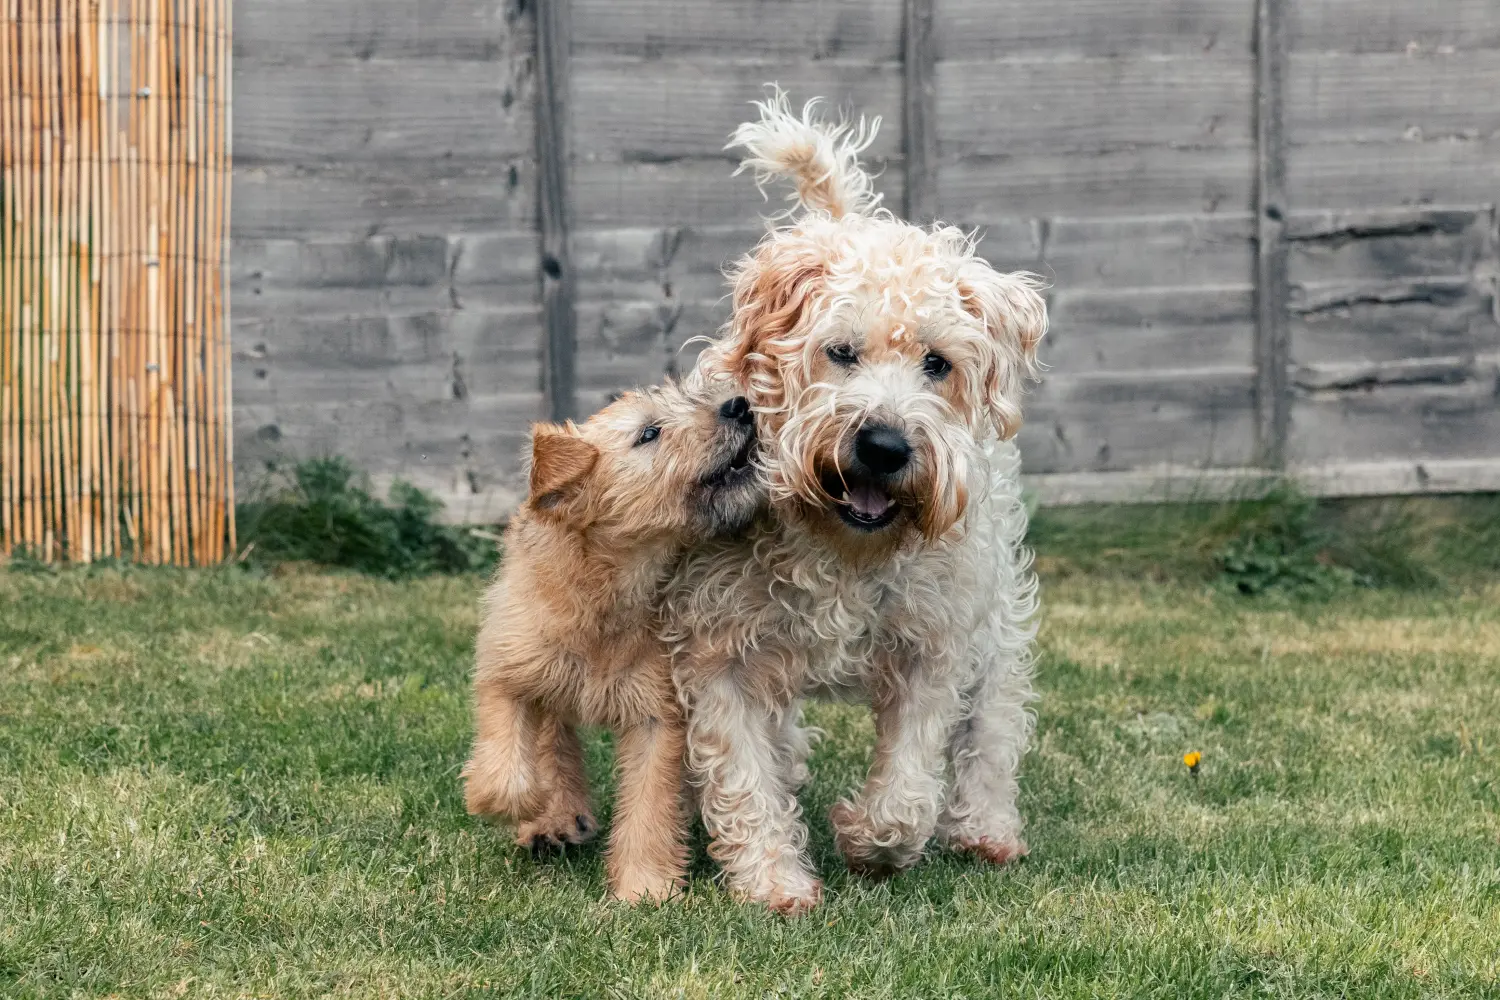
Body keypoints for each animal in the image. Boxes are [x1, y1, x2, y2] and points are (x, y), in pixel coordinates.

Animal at [459, 379, 762, 905]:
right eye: (649, 433)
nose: (740, 406)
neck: (607, 594)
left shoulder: (658, 717)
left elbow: (649, 806)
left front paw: (645, 887)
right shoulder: (507, 671)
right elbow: (505, 771)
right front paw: (529, 806)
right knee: (552, 741)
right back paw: (557, 816)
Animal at [669, 91, 1044, 917]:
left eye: (937, 362)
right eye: (840, 351)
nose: (883, 445)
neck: (841, 550)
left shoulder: (933, 643)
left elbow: (909, 785)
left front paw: (869, 842)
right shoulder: (719, 651)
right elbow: (743, 774)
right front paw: (774, 881)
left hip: (996, 616)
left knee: (995, 723)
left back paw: (987, 828)